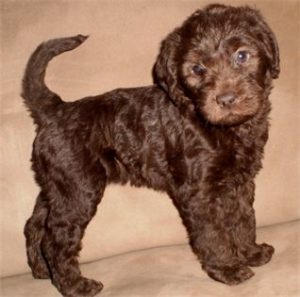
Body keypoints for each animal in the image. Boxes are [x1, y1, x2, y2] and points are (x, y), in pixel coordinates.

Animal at [22, 3, 278, 294]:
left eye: (242, 55)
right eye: (197, 69)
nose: (225, 99)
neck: (224, 129)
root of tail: (56, 109)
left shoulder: (241, 182)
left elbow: (244, 219)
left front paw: (251, 253)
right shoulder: (199, 192)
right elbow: (213, 233)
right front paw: (227, 269)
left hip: (57, 186)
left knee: (35, 225)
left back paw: (42, 271)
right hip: (78, 189)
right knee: (56, 239)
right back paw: (76, 286)